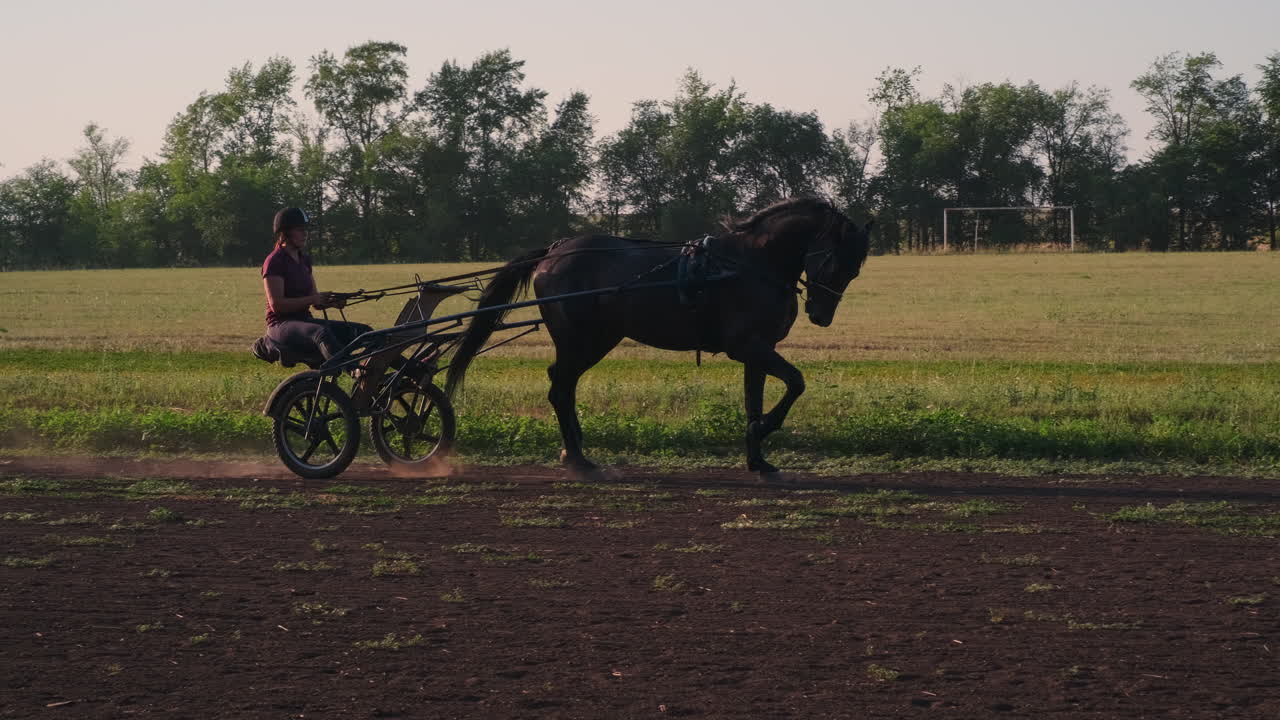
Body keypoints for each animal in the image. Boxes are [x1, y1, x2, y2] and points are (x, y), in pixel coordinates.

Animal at [444, 197, 873, 481]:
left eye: (855, 269)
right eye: (835, 261)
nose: (821, 315)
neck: (749, 265)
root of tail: (555, 250)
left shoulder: (758, 349)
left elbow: (755, 401)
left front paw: (758, 457)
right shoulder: (746, 345)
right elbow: (796, 383)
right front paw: (764, 430)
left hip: (597, 339)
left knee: (563, 386)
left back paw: (575, 449)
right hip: (582, 339)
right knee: (560, 387)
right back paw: (578, 457)